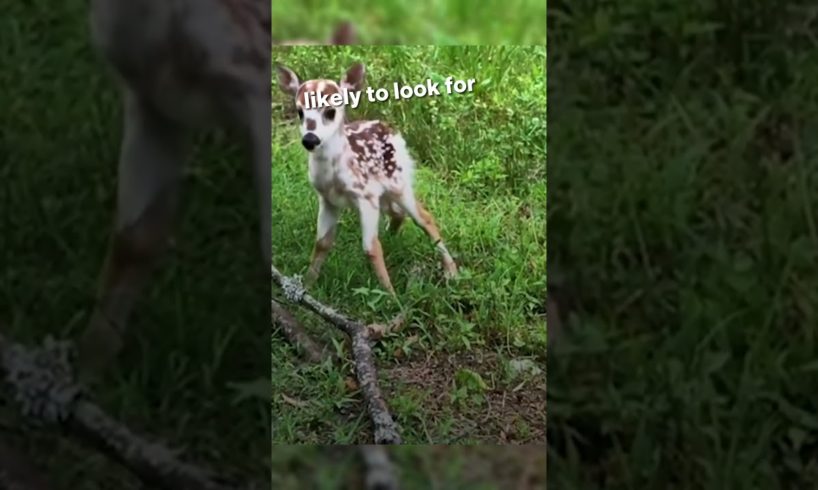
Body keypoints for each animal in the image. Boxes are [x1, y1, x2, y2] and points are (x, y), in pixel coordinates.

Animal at [274, 62, 458, 294]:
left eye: (331, 111)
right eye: (299, 111)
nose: (310, 139)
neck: (335, 176)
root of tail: (390, 128)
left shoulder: (365, 196)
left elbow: (371, 248)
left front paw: (390, 296)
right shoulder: (327, 199)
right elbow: (322, 244)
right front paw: (306, 285)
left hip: (398, 182)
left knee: (424, 217)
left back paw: (452, 272)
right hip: (385, 195)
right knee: (399, 214)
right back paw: (392, 237)